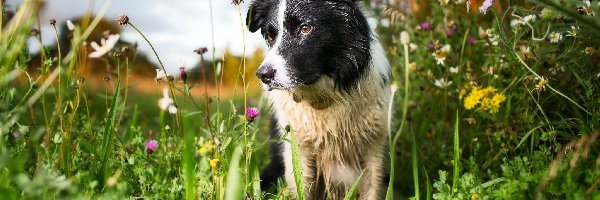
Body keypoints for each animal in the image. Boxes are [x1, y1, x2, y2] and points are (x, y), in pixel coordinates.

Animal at [246, 0, 392, 198]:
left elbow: (371, 190)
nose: (263, 75)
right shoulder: (298, 150)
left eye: (305, 28)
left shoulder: (374, 147)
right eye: (270, 36)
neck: (324, 96)